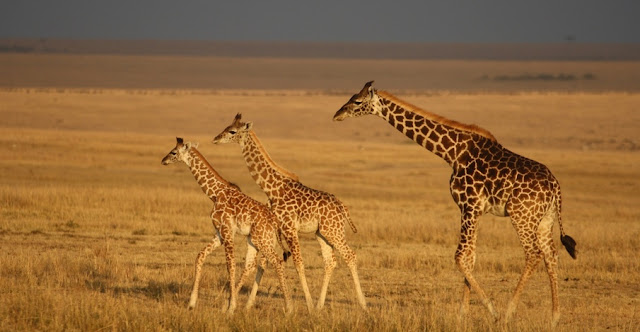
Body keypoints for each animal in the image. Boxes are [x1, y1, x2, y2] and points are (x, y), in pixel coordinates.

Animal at [160, 137, 292, 314]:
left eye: (174, 152)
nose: (164, 160)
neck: (214, 194)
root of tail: (275, 221)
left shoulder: (227, 230)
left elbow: (230, 266)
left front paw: (231, 307)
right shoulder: (219, 233)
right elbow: (200, 256)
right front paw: (192, 303)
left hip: (261, 239)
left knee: (276, 261)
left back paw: (289, 307)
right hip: (257, 239)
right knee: (252, 264)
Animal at [212, 114, 368, 312]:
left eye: (232, 131)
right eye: (226, 127)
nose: (216, 139)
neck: (272, 188)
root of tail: (342, 207)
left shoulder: (289, 227)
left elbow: (298, 263)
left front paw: (307, 305)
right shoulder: (276, 229)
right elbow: (266, 263)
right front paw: (245, 304)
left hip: (334, 231)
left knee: (350, 256)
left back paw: (363, 304)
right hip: (322, 233)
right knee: (330, 261)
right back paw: (320, 305)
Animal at [332, 81, 576, 326]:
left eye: (357, 101)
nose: (337, 115)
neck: (454, 153)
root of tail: (555, 186)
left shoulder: (468, 206)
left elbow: (460, 257)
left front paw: (491, 311)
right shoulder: (475, 210)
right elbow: (471, 258)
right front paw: (463, 314)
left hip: (522, 216)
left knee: (534, 254)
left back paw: (508, 312)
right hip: (545, 219)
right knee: (551, 255)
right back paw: (554, 317)